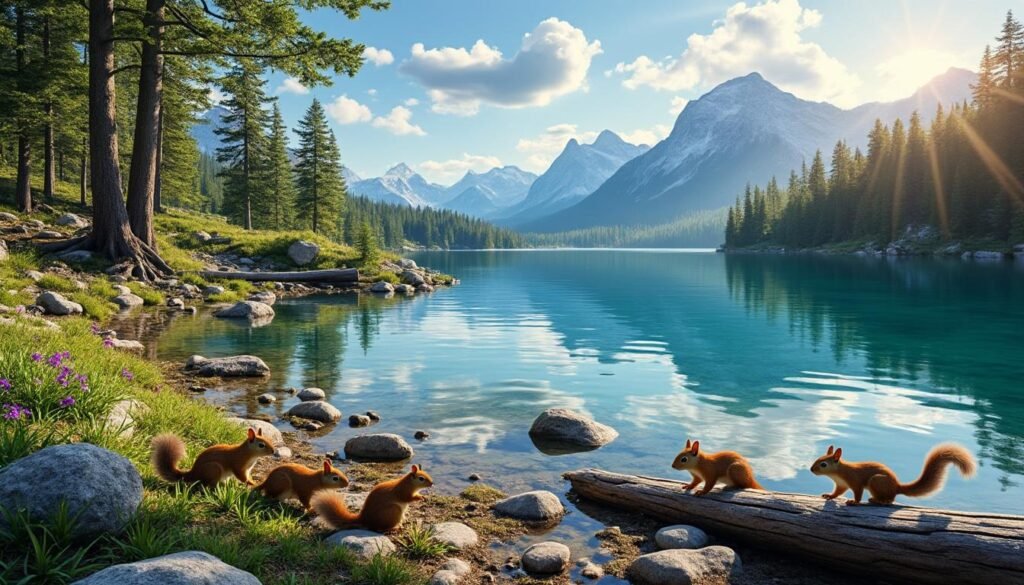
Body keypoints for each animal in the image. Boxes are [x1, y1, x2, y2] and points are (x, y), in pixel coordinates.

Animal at [810, 444, 975, 505]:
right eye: (818, 458)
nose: (811, 469)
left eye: (823, 464)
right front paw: (829, 496)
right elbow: (837, 492)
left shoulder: (855, 481)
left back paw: (877, 500)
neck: (839, 472)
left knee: (889, 500)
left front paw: (854, 502)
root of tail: (897, 487)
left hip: (876, 481)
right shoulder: (841, 484)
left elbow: (858, 493)